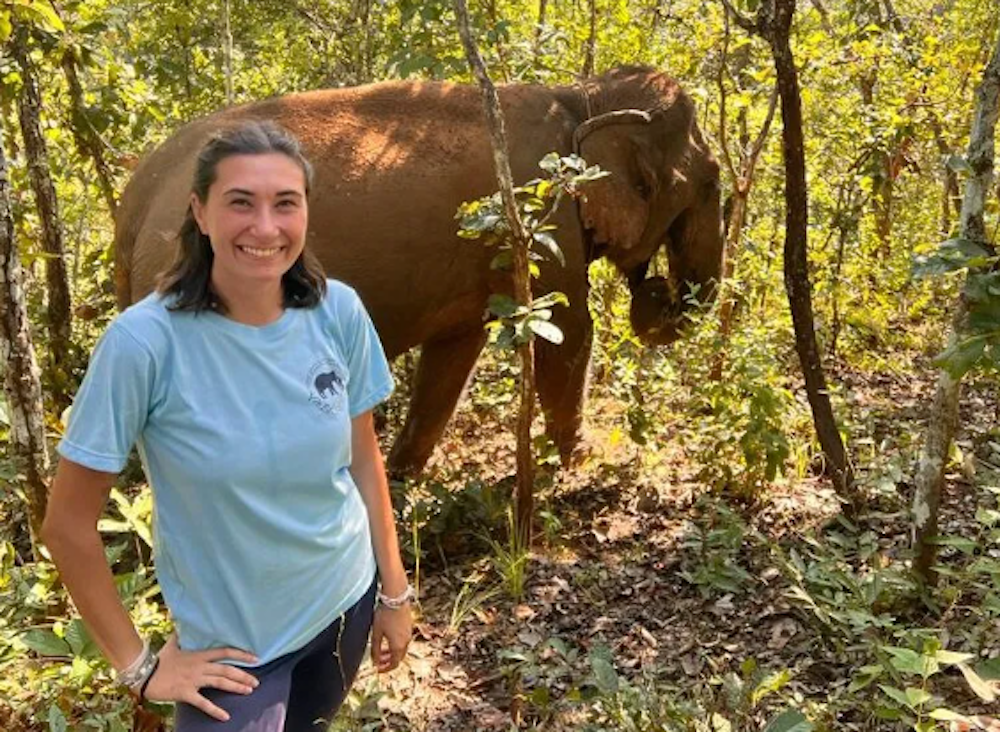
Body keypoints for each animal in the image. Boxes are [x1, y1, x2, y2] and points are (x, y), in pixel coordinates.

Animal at [117, 66, 724, 478]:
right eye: (708, 182)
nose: (657, 287)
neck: (579, 95)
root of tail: (136, 197)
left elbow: (455, 354)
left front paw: (401, 475)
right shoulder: (537, 214)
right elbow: (569, 331)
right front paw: (591, 460)